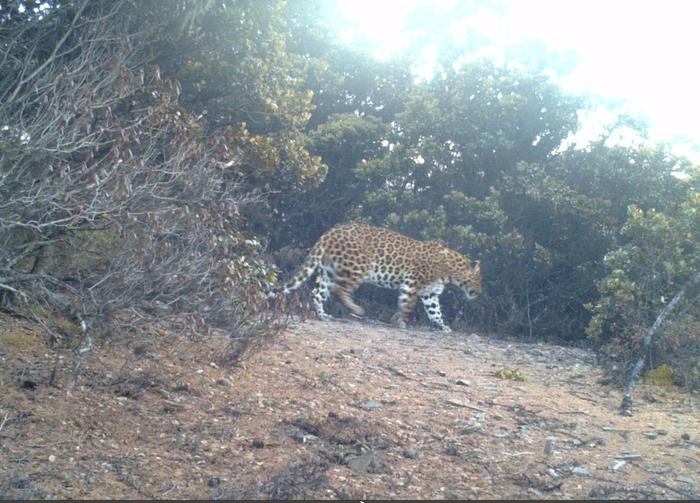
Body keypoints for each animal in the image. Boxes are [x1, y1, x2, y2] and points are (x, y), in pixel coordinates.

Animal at [272, 222, 482, 332]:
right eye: (478, 281)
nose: (479, 292)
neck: (449, 272)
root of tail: (330, 232)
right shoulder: (412, 282)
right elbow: (408, 304)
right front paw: (398, 321)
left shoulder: (430, 293)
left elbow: (435, 311)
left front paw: (442, 326)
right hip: (358, 266)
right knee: (340, 289)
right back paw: (356, 309)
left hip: (328, 270)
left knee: (318, 292)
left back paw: (323, 315)